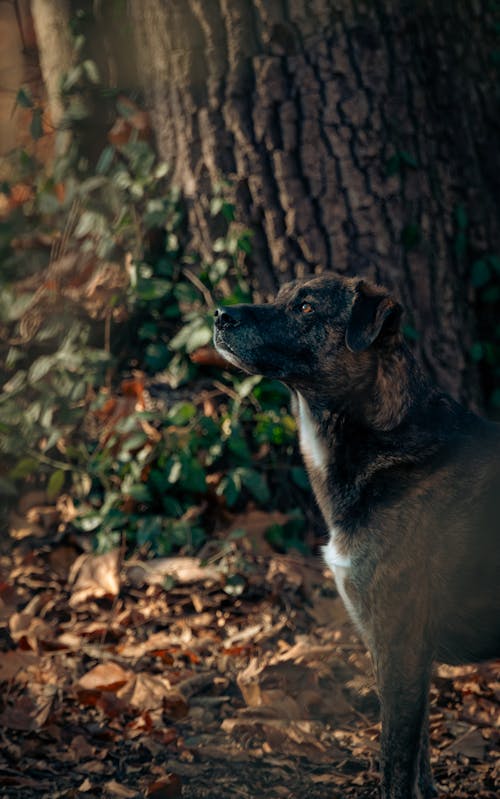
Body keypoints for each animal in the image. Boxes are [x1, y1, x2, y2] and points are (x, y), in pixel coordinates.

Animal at [212, 272, 500, 796]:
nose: (220, 314)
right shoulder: (401, 650)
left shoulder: (399, 642)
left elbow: (395, 764)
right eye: (281, 297)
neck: (383, 437)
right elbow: (418, 764)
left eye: (306, 308)